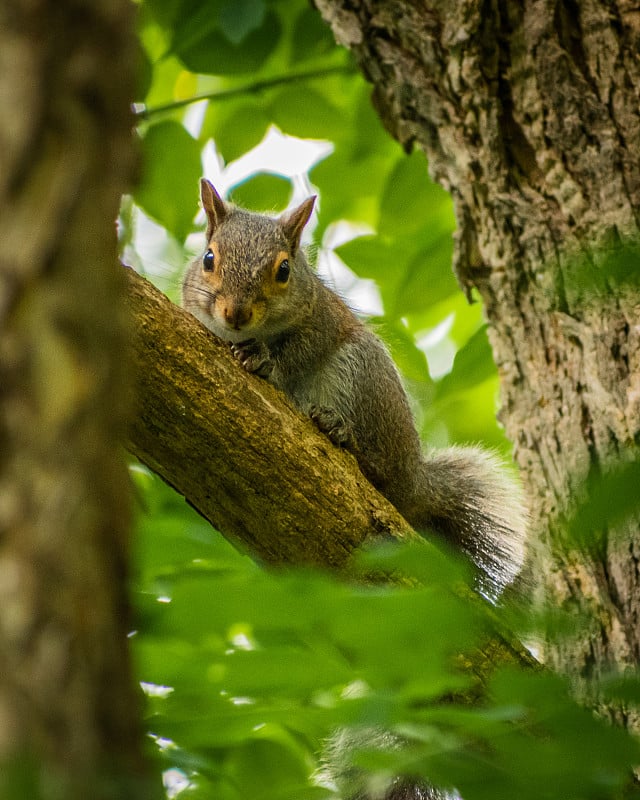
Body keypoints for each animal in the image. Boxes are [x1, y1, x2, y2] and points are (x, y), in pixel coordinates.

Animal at [182, 178, 528, 596]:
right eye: (208, 259)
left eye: (284, 270)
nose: (236, 313)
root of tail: (416, 482)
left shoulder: (322, 321)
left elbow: (299, 353)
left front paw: (265, 361)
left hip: (361, 374)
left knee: (380, 472)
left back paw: (340, 433)